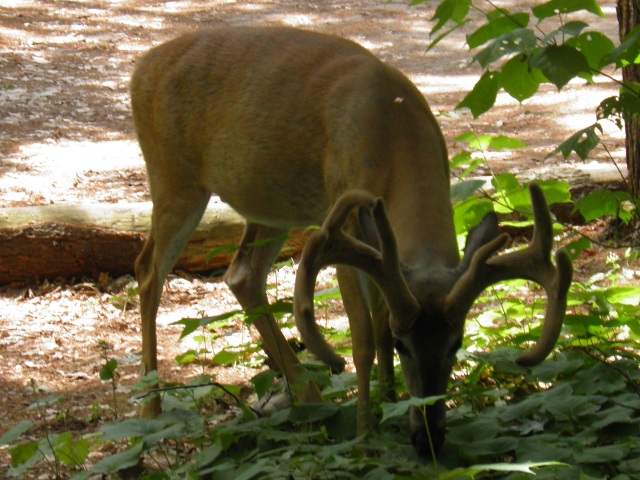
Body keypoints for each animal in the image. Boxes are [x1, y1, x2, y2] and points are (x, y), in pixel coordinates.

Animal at [129, 24, 568, 456]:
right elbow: (363, 341)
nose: (428, 438)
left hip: (268, 203)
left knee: (241, 274)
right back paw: (151, 413)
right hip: (173, 176)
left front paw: (389, 406)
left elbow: (379, 323)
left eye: (455, 342)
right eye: (405, 344)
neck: (394, 134)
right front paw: (363, 438)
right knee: (147, 270)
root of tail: (142, 66)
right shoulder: (341, 226)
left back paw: (310, 400)